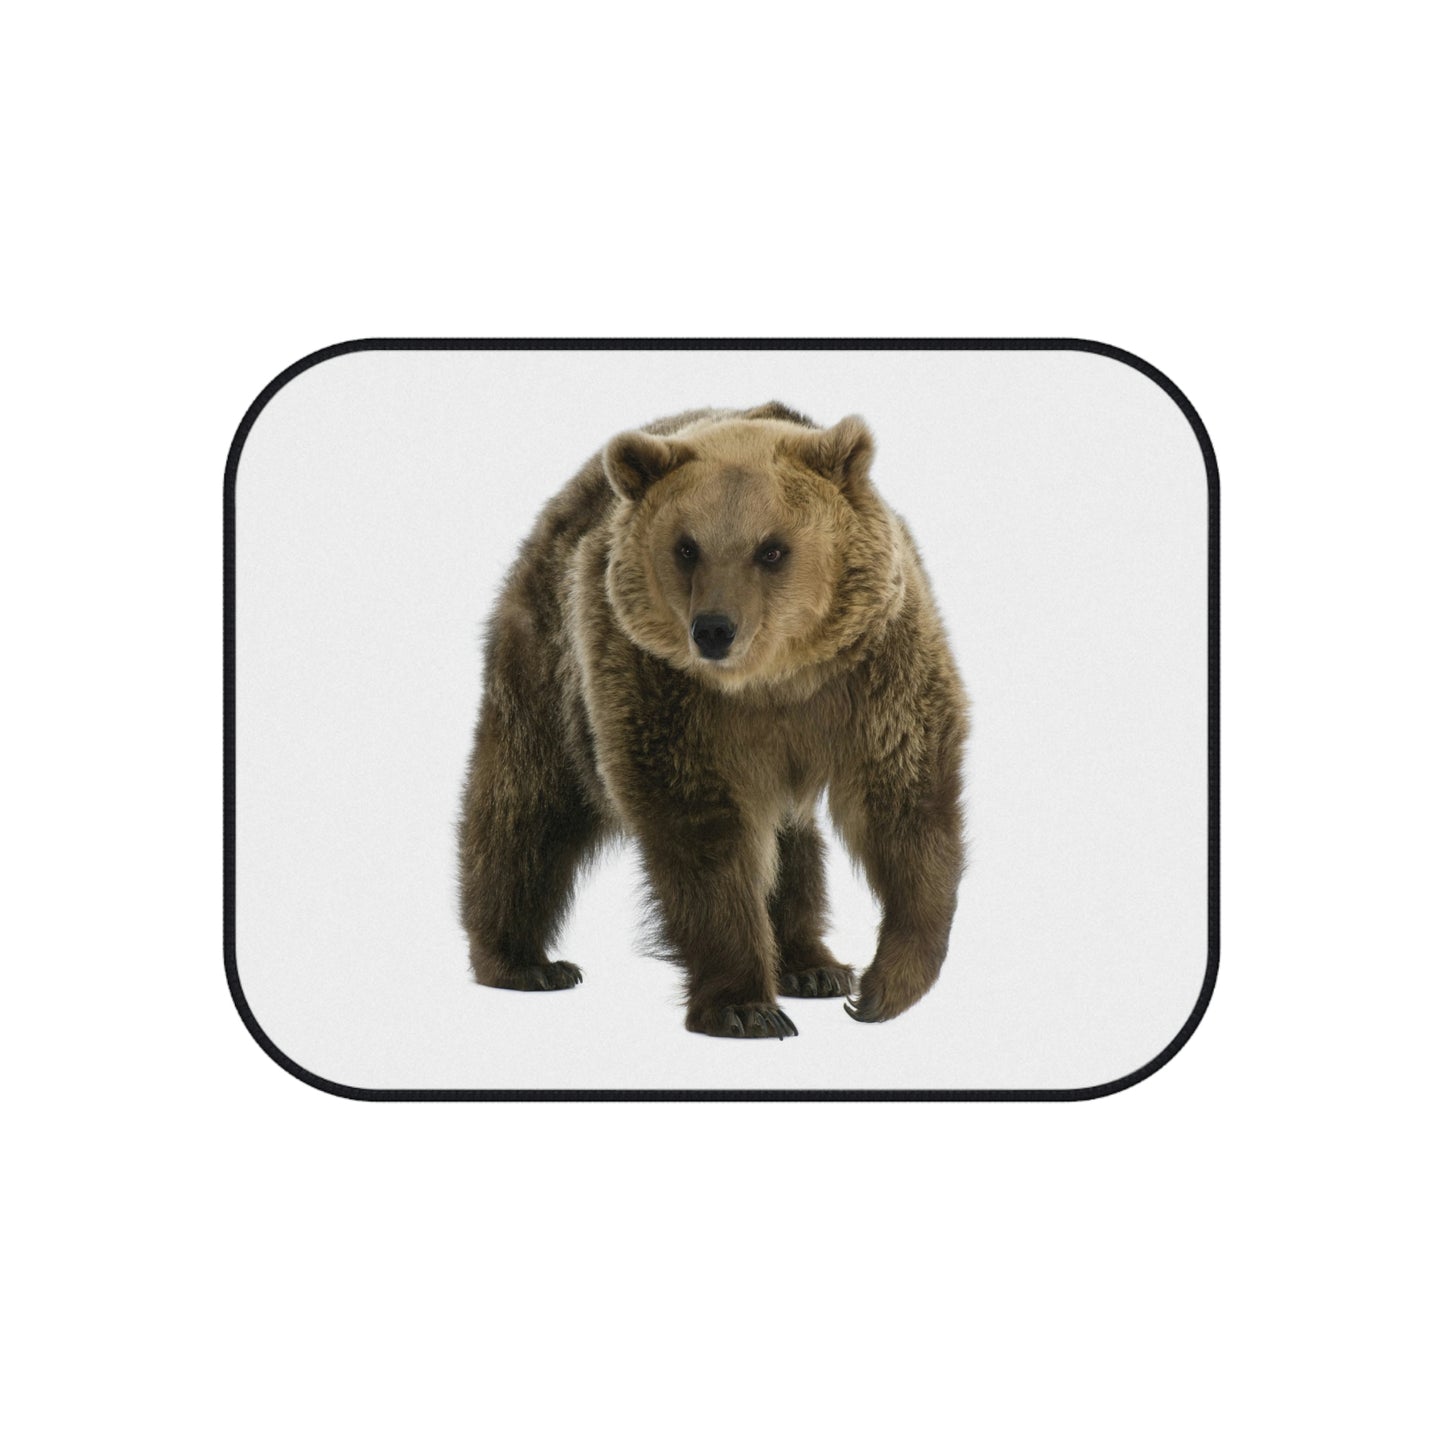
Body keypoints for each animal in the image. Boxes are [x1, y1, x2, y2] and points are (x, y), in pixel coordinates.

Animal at [457, 402, 969, 1039]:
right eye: (687, 547)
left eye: (771, 549)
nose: (714, 629)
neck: (773, 680)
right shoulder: (663, 691)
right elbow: (704, 839)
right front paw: (745, 1007)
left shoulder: (873, 672)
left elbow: (904, 805)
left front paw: (882, 988)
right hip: (550, 669)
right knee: (526, 806)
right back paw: (524, 962)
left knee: (792, 843)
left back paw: (812, 966)